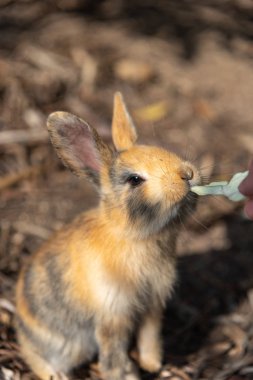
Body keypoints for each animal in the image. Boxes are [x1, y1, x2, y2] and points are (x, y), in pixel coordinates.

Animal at [15, 92, 201, 380]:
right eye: (134, 179)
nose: (188, 174)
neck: (133, 236)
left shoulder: (151, 306)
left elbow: (149, 337)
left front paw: (152, 365)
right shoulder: (113, 315)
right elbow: (113, 354)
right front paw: (126, 374)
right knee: (36, 357)